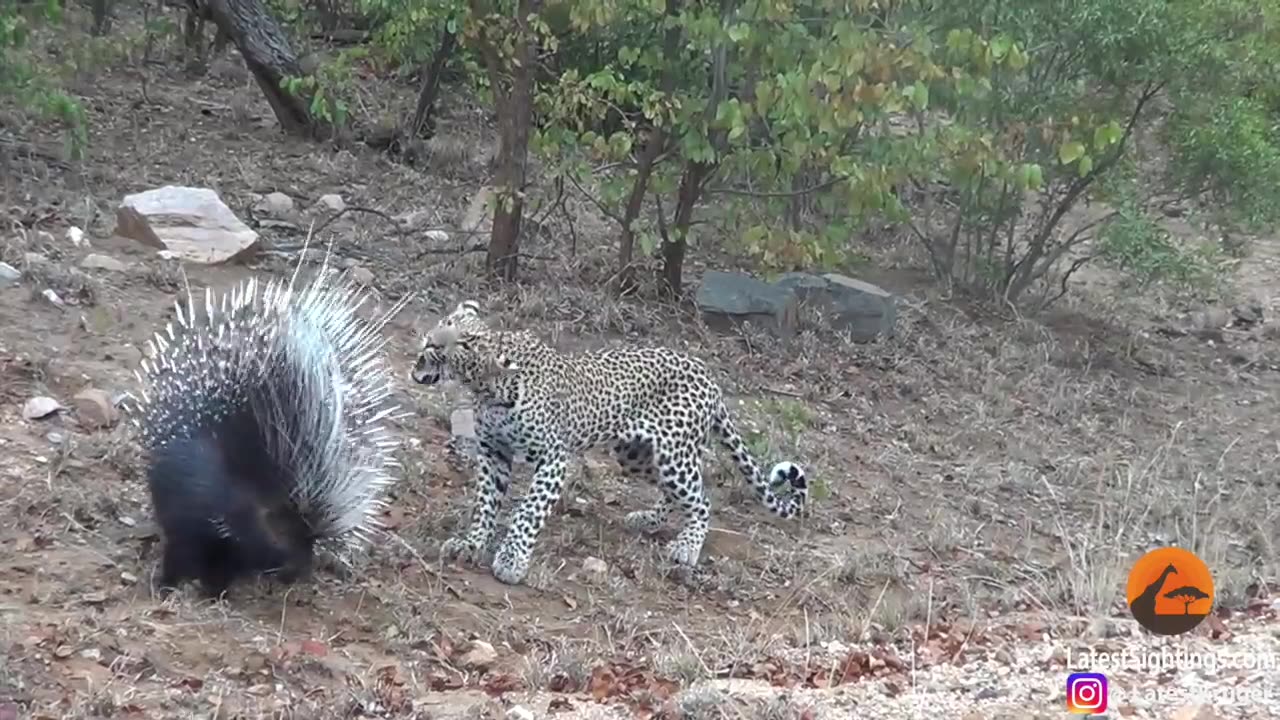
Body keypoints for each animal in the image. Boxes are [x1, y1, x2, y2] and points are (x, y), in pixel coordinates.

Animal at [412, 297, 808, 584]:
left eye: (467, 343)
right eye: (446, 323)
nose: (431, 340)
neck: (488, 390)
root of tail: (708, 376)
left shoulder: (553, 458)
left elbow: (528, 512)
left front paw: (511, 560)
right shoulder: (493, 453)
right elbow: (484, 504)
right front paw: (471, 543)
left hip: (674, 454)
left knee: (701, 499)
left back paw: (686, 547)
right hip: (637, 454)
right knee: (675, 492)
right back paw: (649, 519)